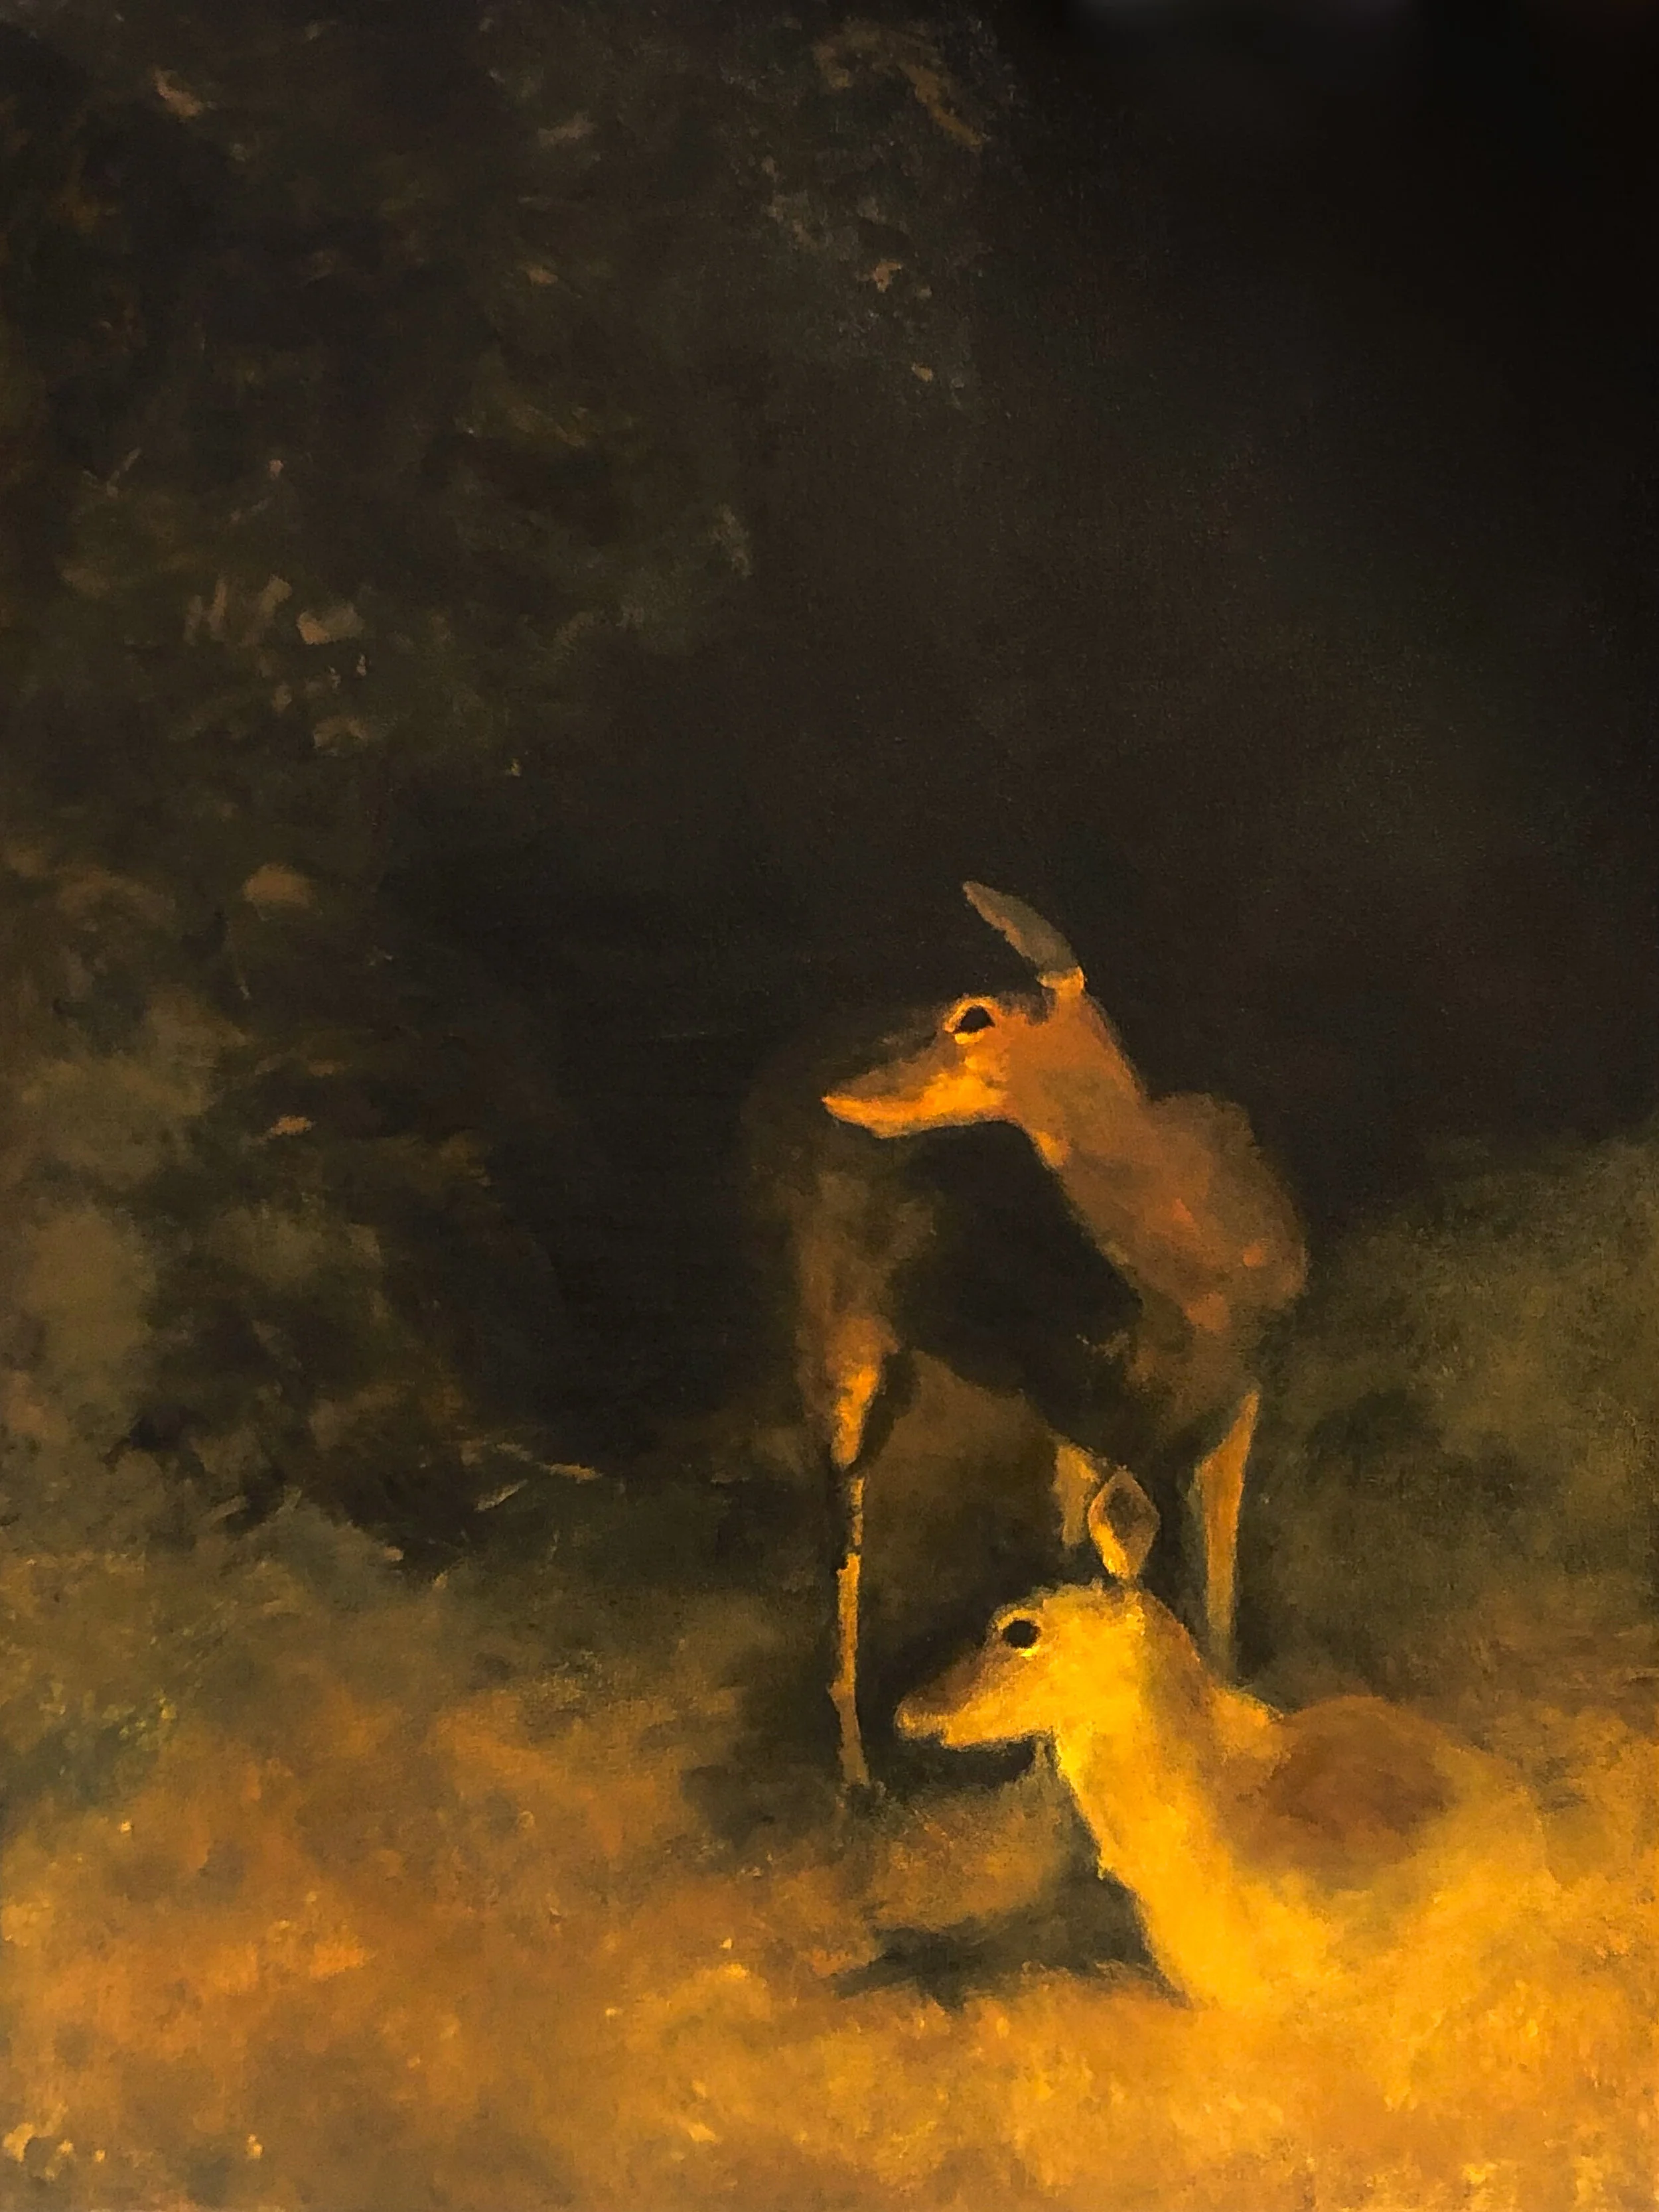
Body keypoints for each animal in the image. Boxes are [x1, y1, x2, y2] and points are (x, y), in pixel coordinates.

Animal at [806, 882, 1306, 1789]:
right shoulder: (1085, 1408)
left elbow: (1212, 1588)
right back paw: (856, 1776)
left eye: (974, 1015)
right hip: (839, 1356)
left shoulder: (1236, 1397)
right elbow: (1090, 1564)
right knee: (844, 1542)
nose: (848, 1092)